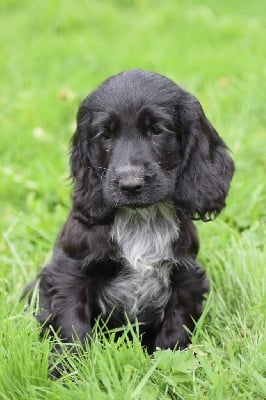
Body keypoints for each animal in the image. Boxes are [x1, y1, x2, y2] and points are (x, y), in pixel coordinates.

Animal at [23, 69, 234, 354]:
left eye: (157, 130)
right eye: (105, 135)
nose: (130, 185)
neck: (141, 218)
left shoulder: (186, 276)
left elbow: (176, 327)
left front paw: (170, 358)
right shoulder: (69, 272)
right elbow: (71, 328)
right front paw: (68, 365)